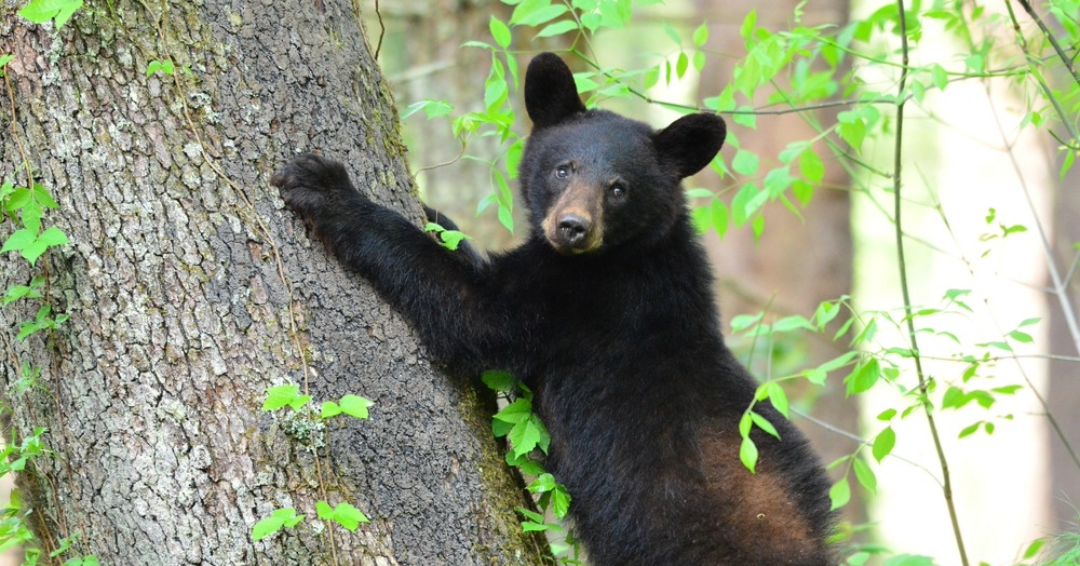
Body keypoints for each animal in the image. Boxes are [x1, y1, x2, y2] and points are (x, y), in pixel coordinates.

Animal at [272, 52, 835, 566]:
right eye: (563, 168)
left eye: (619, 188)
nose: (572, 227)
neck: (629, 254)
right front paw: (436, 215)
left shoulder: (579, 299)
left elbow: (473, 310)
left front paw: (325, 187)